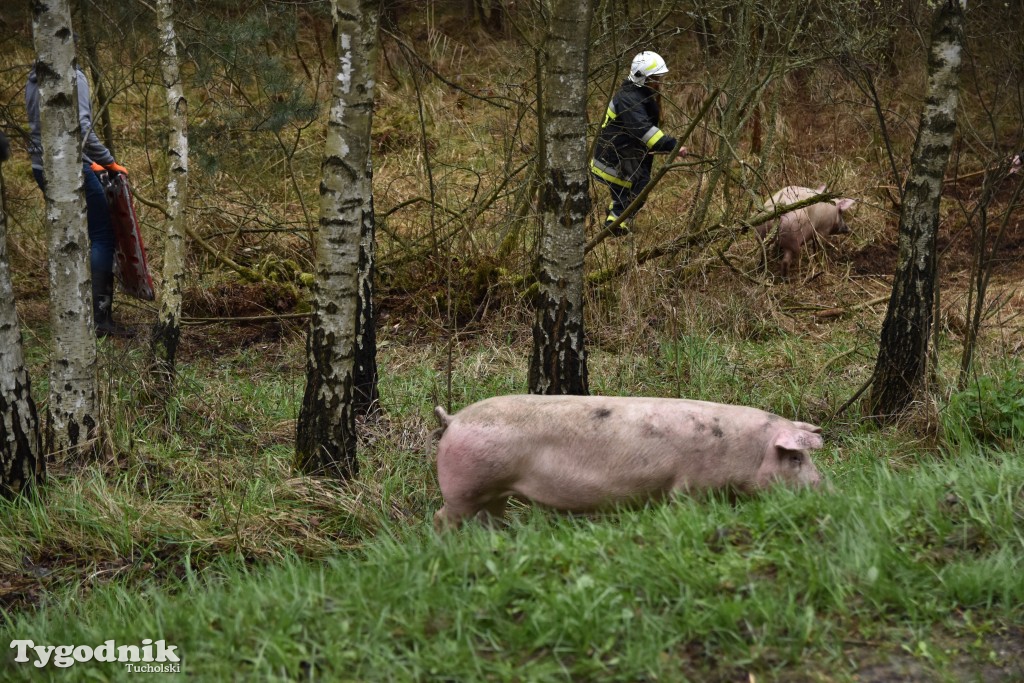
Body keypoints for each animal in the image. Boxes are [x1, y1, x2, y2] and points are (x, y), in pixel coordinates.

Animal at [430, 393, 823, 532]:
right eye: (795, 457)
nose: (824, 486)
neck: (745, 451)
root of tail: (453, 419)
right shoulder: (690, 486)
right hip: (464, 487)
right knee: (442, 516)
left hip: (493, 492)